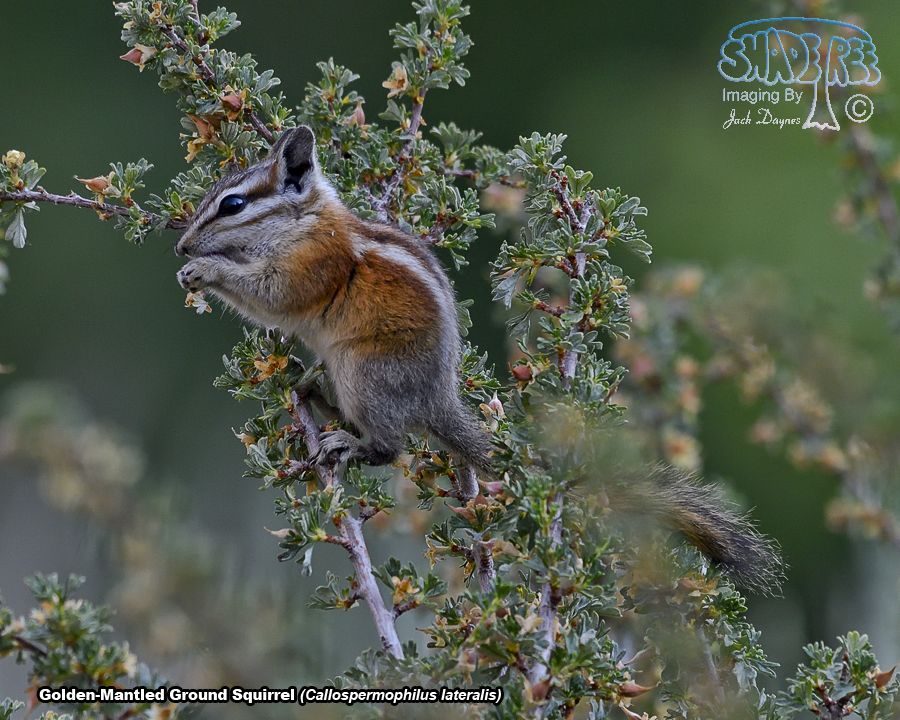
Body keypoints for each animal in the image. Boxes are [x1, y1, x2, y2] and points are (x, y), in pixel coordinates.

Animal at [175, 126, 782, 593]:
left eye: (233, 205)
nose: (182, 247)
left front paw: (207, 272)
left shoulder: (310, 265)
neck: (303, 221)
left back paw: (346, 439)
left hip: (366, 374)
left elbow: (273, 297)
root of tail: (437, 398)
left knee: (390, 447)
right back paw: (310, 391)